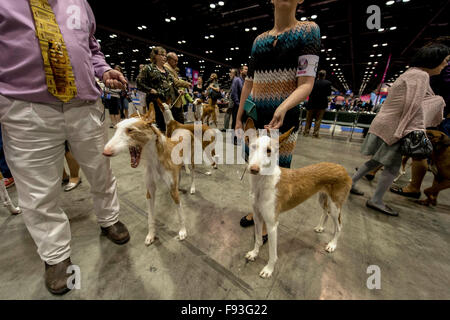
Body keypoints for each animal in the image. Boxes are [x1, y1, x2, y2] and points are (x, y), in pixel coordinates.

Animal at [103, 105, 195, 245]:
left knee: (192, 175)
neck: (154, 159)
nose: (105, 152)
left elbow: (180, 213)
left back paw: (193, 187)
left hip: (191, 161)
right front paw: (151, 235)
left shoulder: (173, 192)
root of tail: (183, 128)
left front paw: (182, 232)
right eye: (116, 128)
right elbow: (150, 217)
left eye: (130, 130)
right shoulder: (150, 191)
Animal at [243, 119, 352, 278]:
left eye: (269, 151)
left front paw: (269, 269)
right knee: (324, 212)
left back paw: (332, 245)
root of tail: (342, 168)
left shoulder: (272, 224)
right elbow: (257, 239)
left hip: (335, 205)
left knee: (339, 226)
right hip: (322, 198)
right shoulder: (257, 216)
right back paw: (320, 227)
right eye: (252, 146)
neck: (262, 182)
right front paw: (254, 253)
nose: (254, 169)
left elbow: (272, 253)